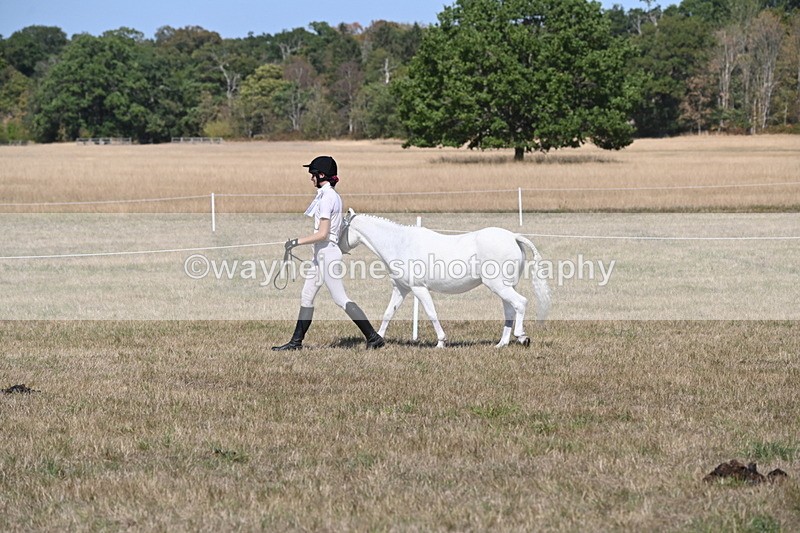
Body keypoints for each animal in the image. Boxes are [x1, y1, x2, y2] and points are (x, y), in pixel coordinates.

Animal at [340, 210, 551, 348]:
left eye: (341, 226)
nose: (337, 246)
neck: (400, 243)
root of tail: (514, 237)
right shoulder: (401, 288)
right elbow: (388, 313)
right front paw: (378, 340)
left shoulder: (419, 288)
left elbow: (431, 313)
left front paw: (441, 342)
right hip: (504, 287)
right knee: (510, 310)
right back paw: (501, 344)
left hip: (499, 286)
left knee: (520, 303)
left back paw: (522, 337)